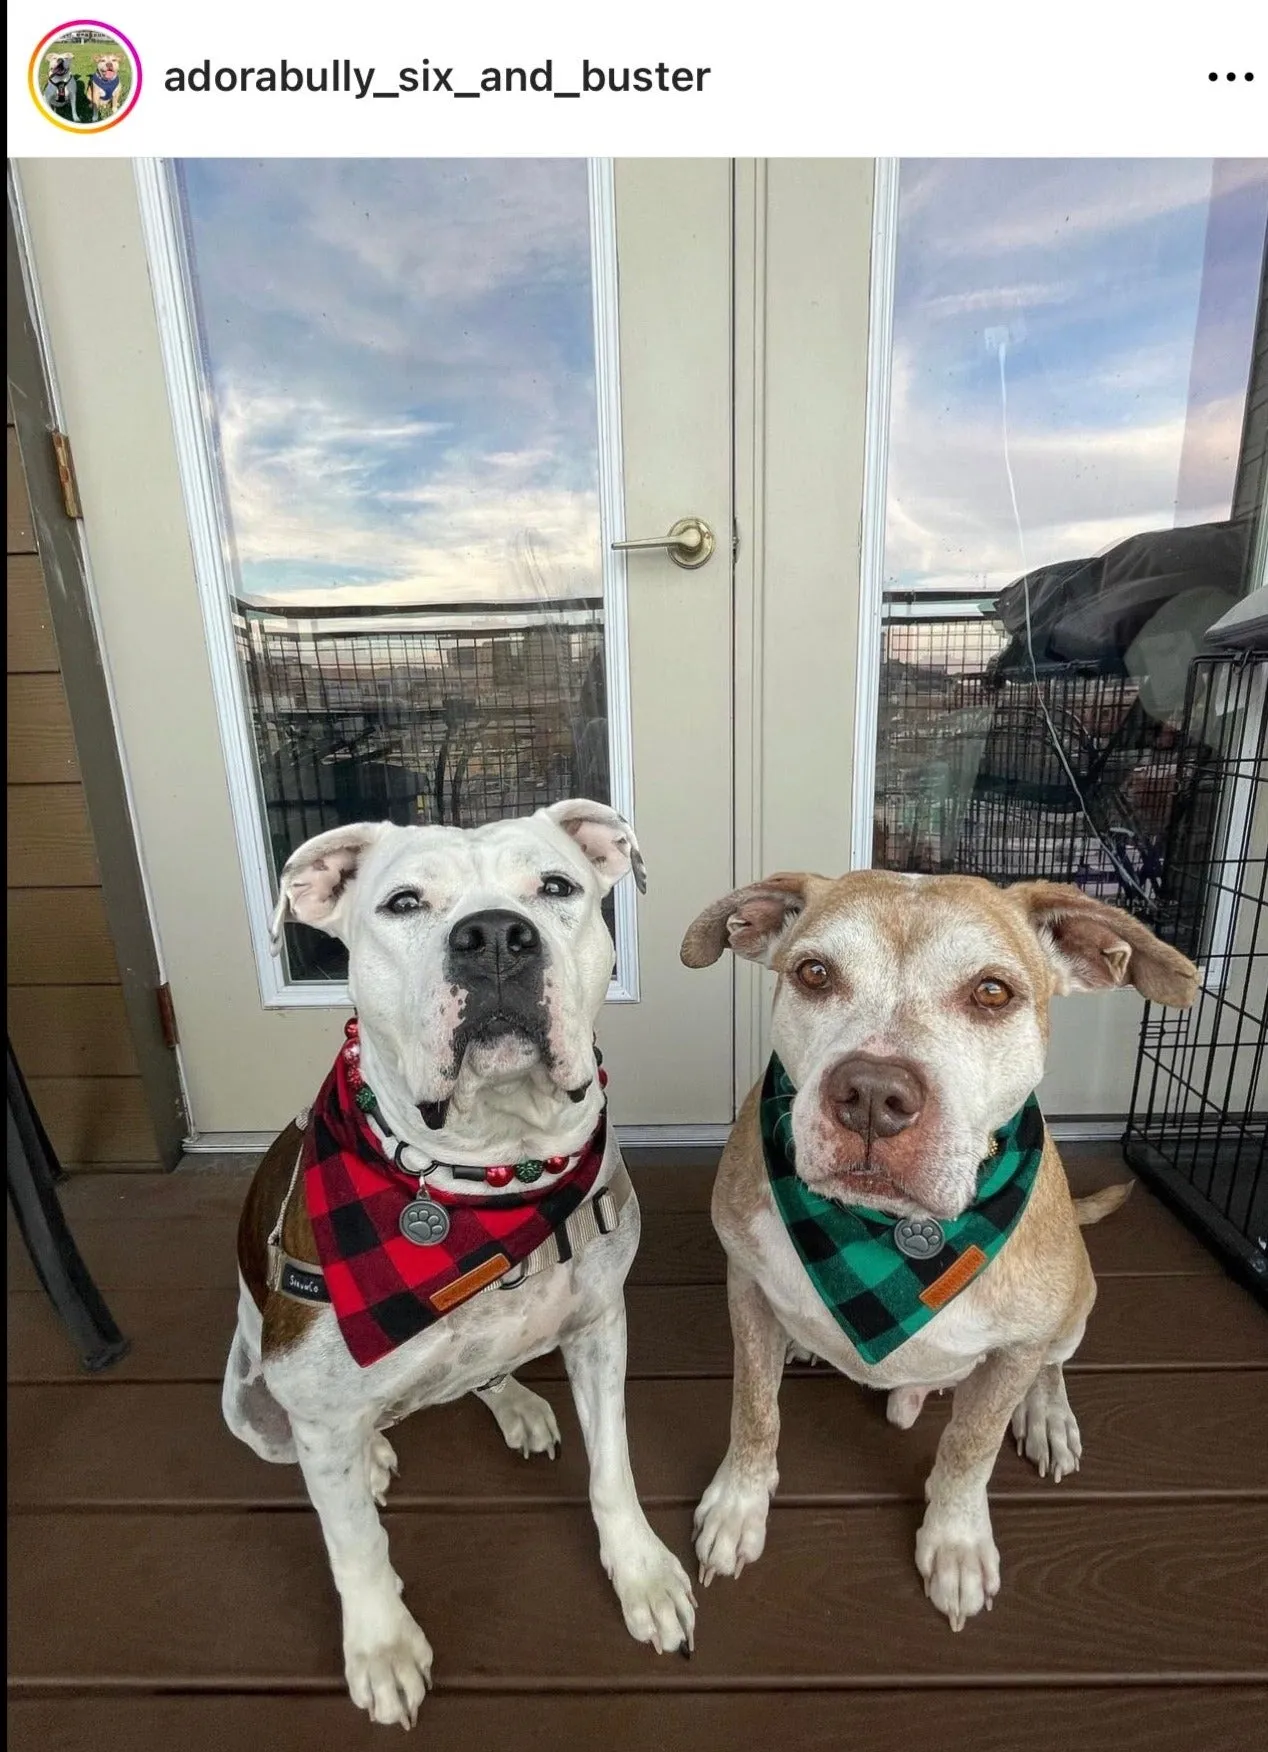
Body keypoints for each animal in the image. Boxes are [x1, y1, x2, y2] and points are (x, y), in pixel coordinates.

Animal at [225, 802, 693, 1723]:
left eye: (557, 887)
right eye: (403, 902)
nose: (496, 938)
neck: (489, 1174)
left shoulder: (600, 1326)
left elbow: (612, 1466)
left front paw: (641, 1573)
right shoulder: (313, 1402)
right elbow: (354, 1543)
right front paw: (381, 1646)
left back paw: (511, 1401)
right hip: (252, 1405)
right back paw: (371, 1453)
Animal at [679, 876, 1190, 1625]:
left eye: (992, 992)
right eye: (814, 973)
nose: (870, 1094)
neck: (891, 1234)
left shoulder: (1017, 1348)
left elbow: (970, 1447)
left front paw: (955, 1543)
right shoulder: (745, 1286)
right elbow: (755, 1409)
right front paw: (739, 1507)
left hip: (1075, 1305)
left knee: (1051, 1366)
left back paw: (1048, 1416)